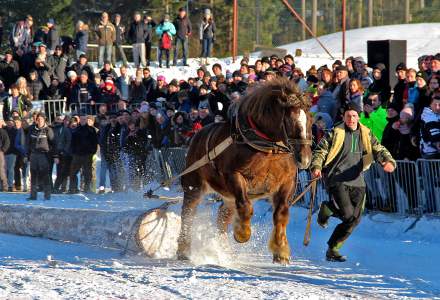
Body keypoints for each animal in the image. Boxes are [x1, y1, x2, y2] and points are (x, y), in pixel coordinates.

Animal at [176, 78, 312, 264]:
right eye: (290, 121)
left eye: (309, 121)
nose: (304, 159)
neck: (266, 148)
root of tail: (197, 135)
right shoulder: (234, 176)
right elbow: (246, 207)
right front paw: (242, 234)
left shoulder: (287, 181)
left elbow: (281, 213)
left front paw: (281, 250)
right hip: (194, 186)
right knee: (188, 215)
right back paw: (183, 250)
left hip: (227, 197)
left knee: (223, 217)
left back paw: (223, 250)